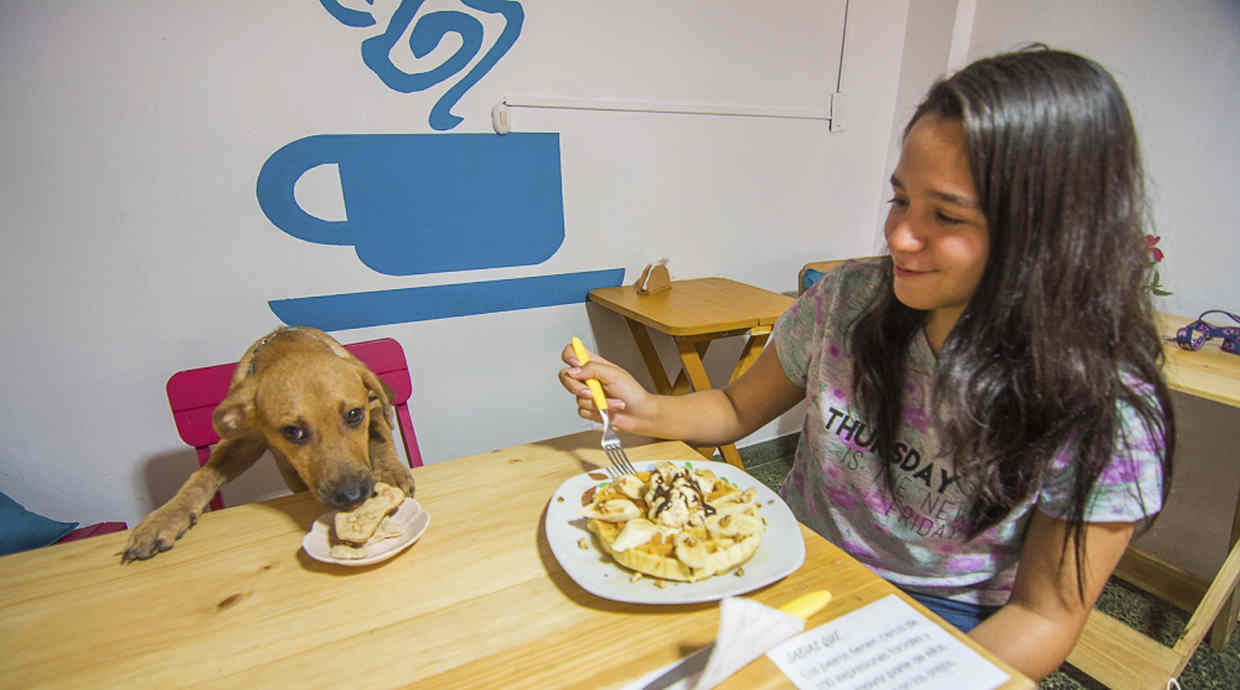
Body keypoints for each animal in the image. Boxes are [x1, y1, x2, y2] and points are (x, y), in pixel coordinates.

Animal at [123, 325, 419, 563]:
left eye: (354, 415)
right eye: (292, 432)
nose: (352, 496)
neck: (290, 348)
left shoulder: (373, 405)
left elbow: (380, 435)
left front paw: (391, 472)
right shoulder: (245, 439)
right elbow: (204, 475)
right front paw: (165, 518)